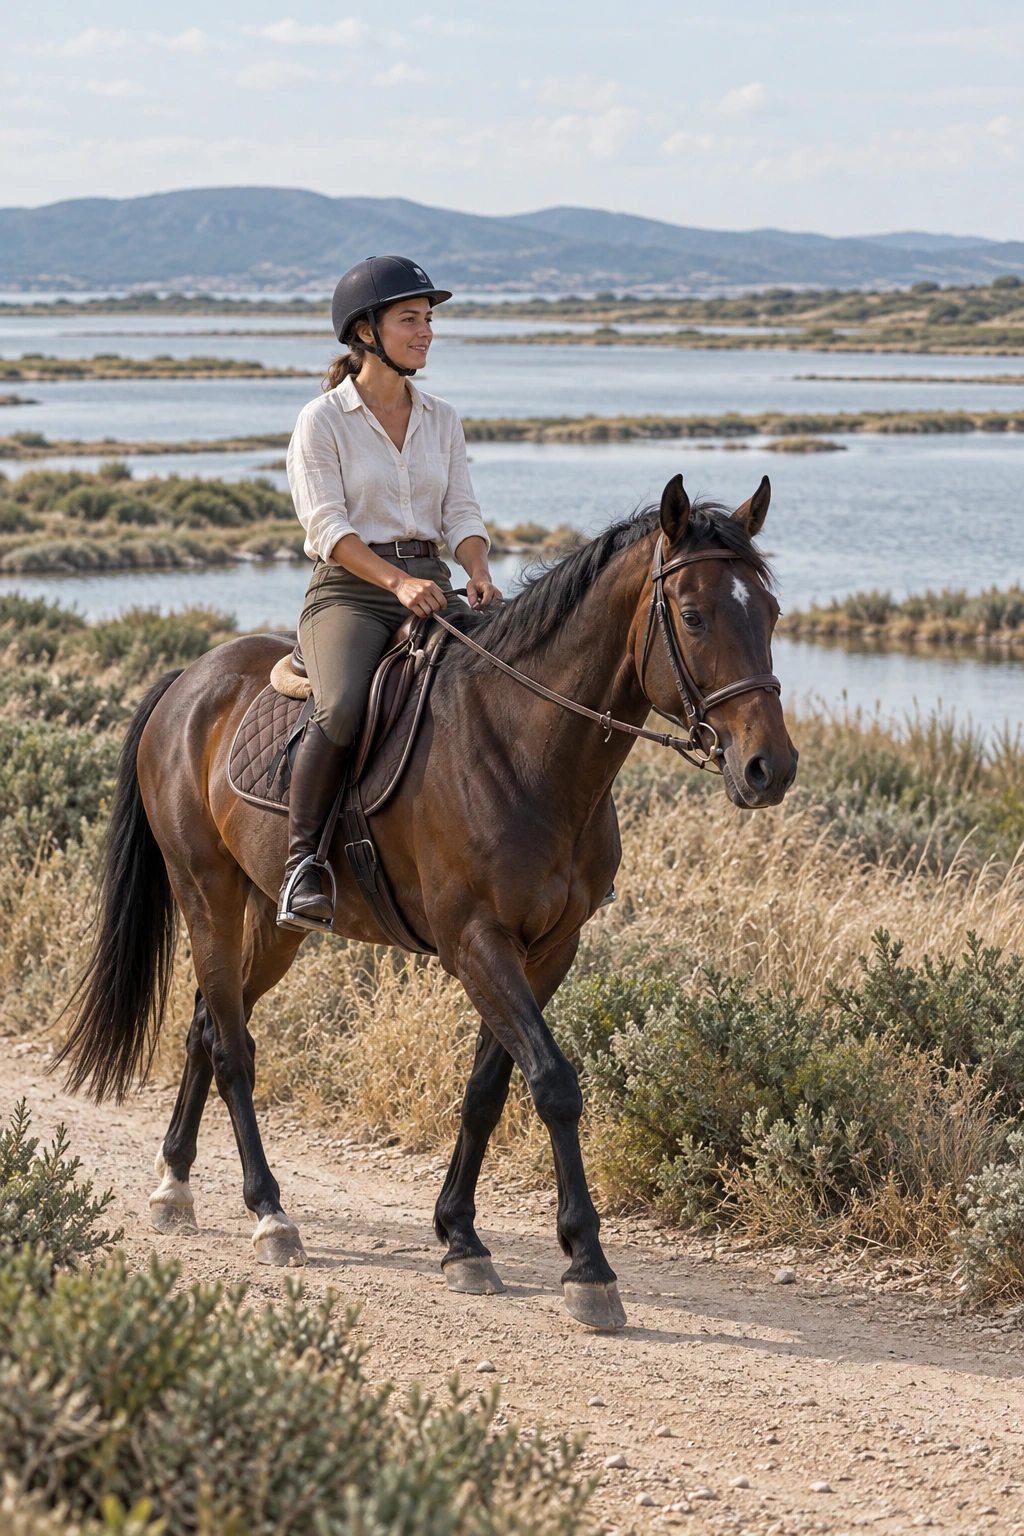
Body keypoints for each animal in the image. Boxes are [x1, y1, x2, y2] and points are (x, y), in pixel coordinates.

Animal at [56, 473, 797, 1331]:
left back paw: (174, 1184)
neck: (523, 747)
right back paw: (270, 1215)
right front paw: (587, 1264)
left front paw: (460, 1237)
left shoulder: (547, 949)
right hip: (204, 892)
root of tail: (187, 681)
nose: (769, 768)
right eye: (695, 614)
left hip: (275, 920)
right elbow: (554, 1083)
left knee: (209, 1025)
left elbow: (488, 1090)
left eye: (770, 613)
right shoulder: (475, 941)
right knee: (234, 1049)